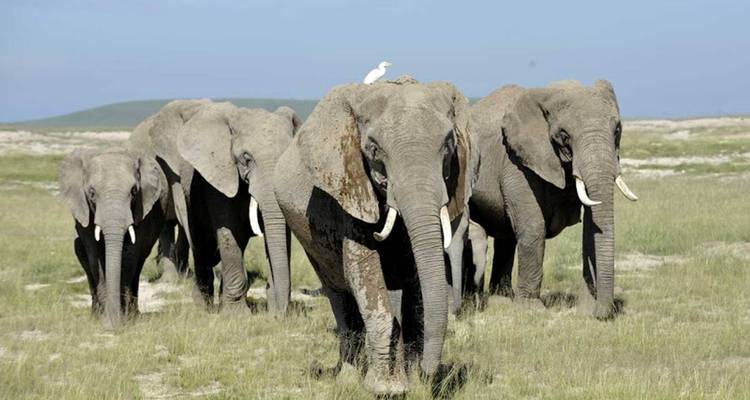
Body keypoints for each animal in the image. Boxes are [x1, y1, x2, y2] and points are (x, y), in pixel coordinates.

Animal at [59, 147, 168, 328]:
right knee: (82, 254)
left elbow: (129, 255)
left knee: (139, 262)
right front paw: (106, 320)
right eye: (92, 193)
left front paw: (121, 319)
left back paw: (133, 314)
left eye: (134, 191)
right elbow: (94, 254)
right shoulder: (84, 209)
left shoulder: (140, 209)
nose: (112, 324)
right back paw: (95, 314)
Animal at [274, 77, 472, 395]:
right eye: (374, 149)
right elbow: (364, 271)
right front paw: (388, 389)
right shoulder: (349, 188)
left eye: (448, 144)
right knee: (339, 295)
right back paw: (348, 377)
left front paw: (413, 381)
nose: (428, 375)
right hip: (308, 236)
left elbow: (415, 282)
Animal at [466, 80, 637, 320]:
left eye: (617, 131)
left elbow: (591, 229)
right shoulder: (516, 161)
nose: (601, 314)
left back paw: (502, 300)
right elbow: (533, 227)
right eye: (564, 136)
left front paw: (585, 308)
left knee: (506, 238)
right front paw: (531, 309)